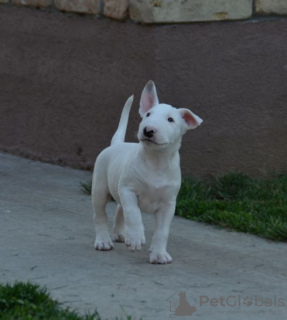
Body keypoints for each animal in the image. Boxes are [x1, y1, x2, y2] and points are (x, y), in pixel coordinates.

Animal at [91, 80, 202, 264]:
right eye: (148, 114)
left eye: (170, 119)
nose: (148, 130)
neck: (155, 161)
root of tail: (116, 144)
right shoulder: (127, 189)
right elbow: (133, 212)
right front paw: (136, 237)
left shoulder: (168, 204)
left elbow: (162, 231)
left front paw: (159, 254)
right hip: (100, 189)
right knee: (100, 215)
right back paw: (104, 241)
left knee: (119, 209)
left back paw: (121, 233)